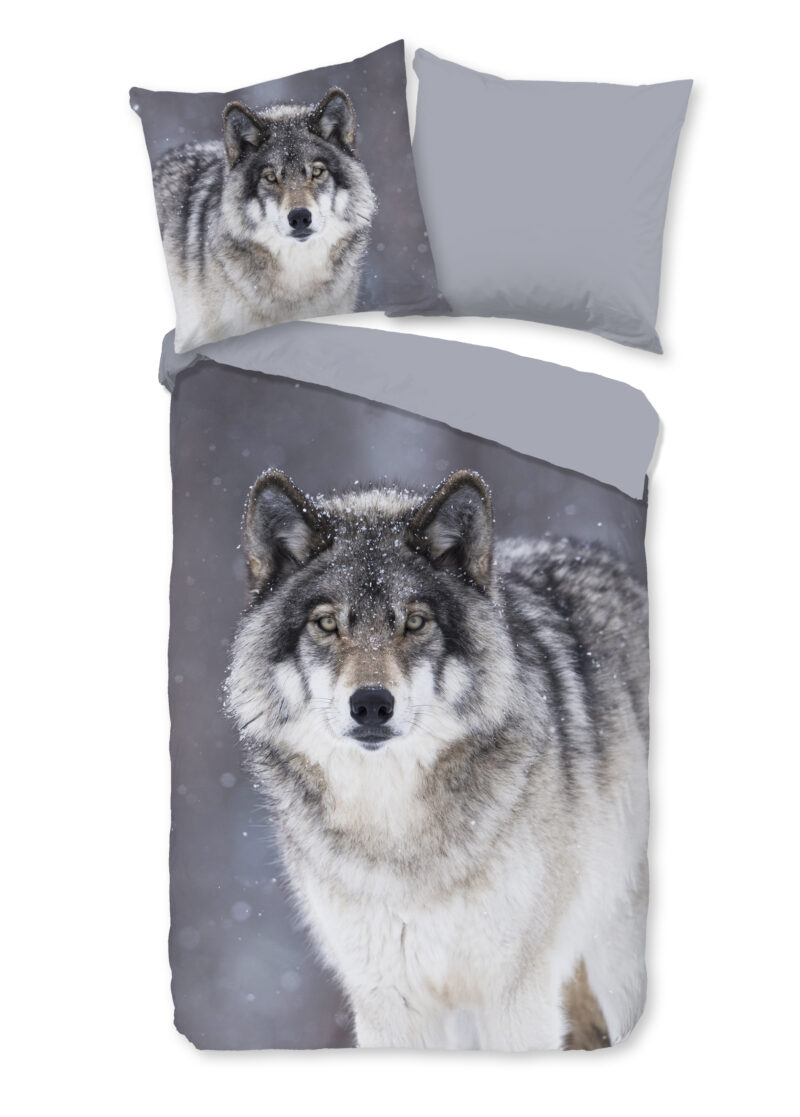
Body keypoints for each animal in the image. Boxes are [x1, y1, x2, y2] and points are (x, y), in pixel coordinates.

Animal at [226, 469, 650, 1051]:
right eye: (328, 624)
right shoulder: (388, 1003)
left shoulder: (515, 995)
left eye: (415, 622)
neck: (395, 832)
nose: (371, 704)